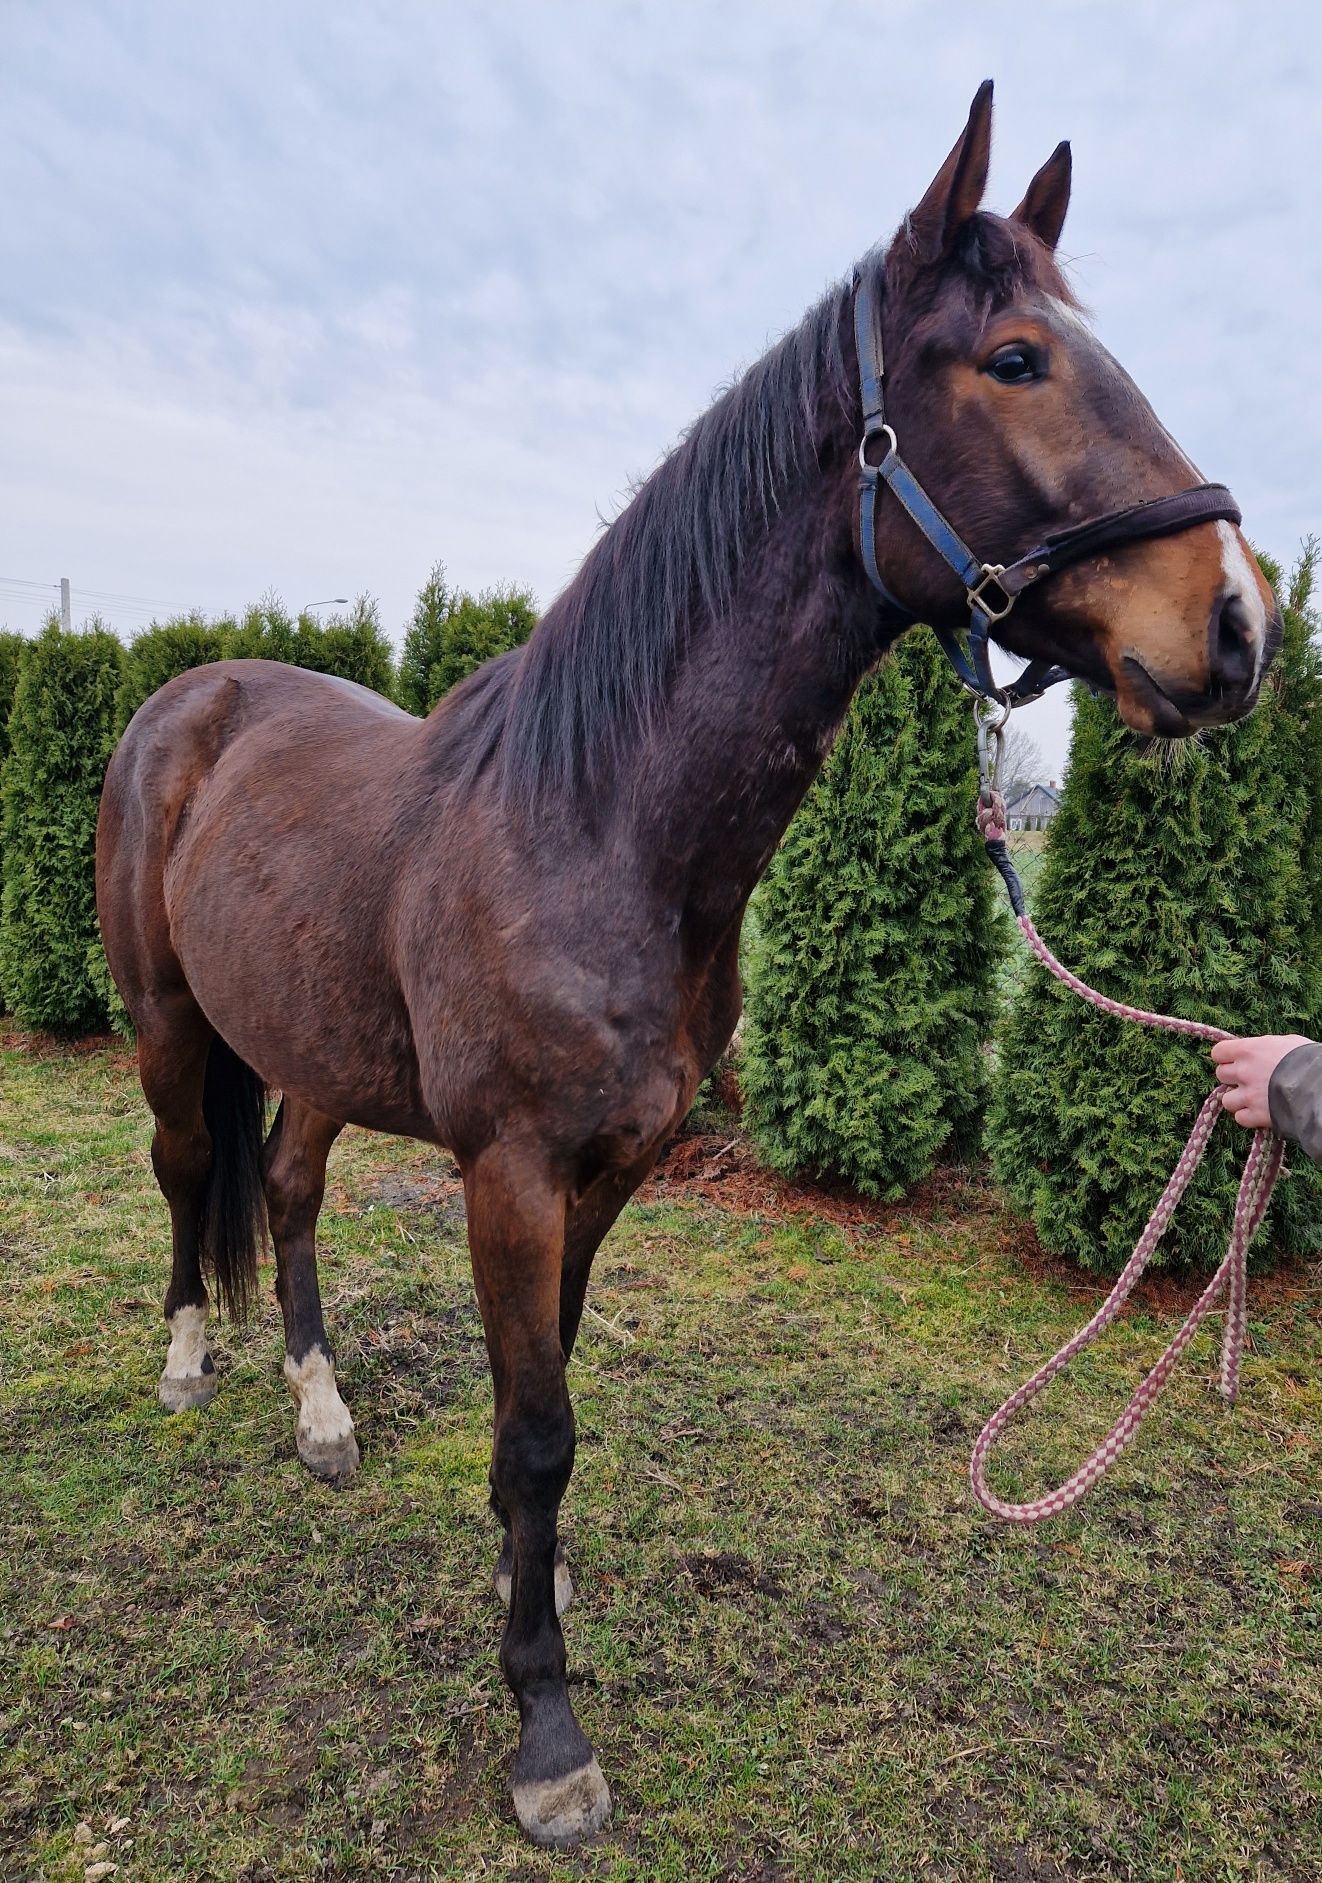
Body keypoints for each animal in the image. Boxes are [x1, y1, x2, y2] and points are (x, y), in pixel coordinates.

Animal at [96, 80, 1280, 1845]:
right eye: (1014, 359)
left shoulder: (610, 1171)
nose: (1236, 628)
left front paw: (533, 1591)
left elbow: (551, 1404)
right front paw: (544, 1729)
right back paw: (188, 1366)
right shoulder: (511, 1171)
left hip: (310, 1048)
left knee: (289, 1190)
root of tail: (190, 699)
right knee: (190, 1173)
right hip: (171, 1019)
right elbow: (534, 1429)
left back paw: (320, 1410)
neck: (595, 824)